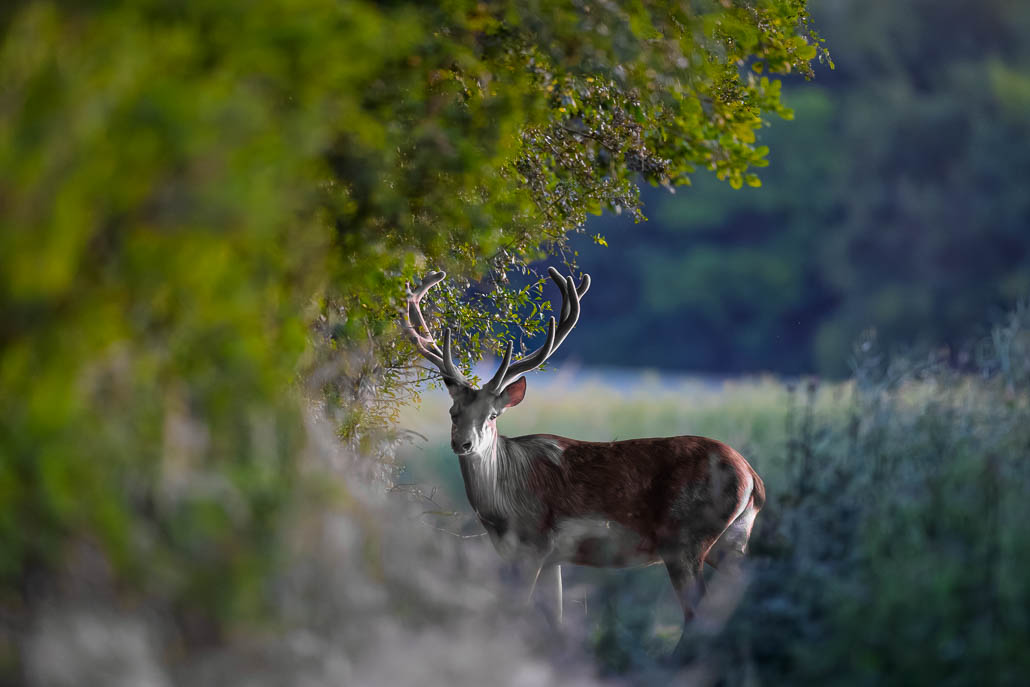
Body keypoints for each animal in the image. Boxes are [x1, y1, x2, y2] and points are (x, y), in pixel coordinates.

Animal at [402, 267, 765, 644]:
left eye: (492, 415)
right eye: (453, 412)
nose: (463, 444)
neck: (502, 507)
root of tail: (753, 479)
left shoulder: (533, 543)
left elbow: (520, 613)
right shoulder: (551, 558)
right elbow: (556, 620)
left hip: (685, 538)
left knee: (697, 615)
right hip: (733, 540)